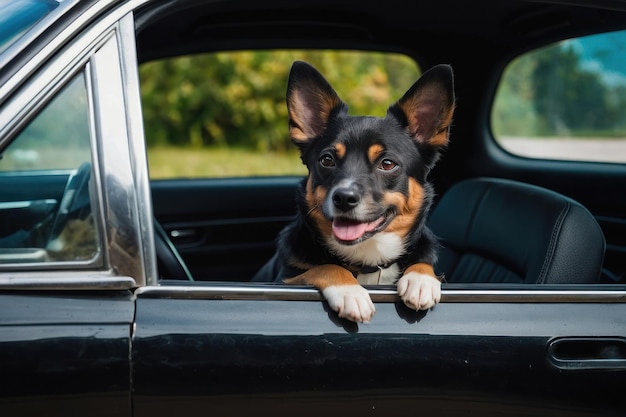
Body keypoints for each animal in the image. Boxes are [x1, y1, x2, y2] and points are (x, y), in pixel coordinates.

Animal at [252, 61, 454, 322]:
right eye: (327, 160)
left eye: (387, 164)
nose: (344, 198)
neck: (368, 260)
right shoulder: (285, 280)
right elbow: (326, 266)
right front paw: (349, 291)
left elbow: (423, 263)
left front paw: (421, 279)